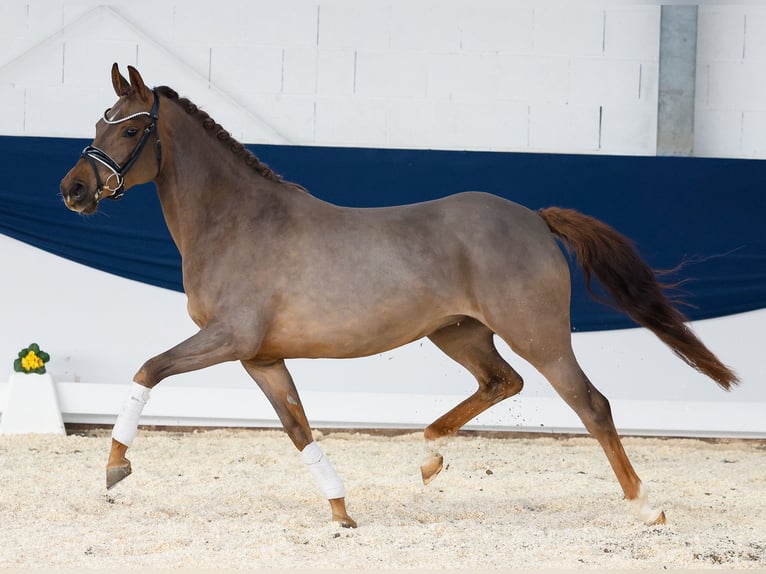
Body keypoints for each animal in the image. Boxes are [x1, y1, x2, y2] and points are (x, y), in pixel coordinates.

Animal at [61, 64, 736, 532]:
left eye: (130, 128)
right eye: (98, 123)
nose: (73, 190)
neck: (236, 221)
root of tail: (534, 219)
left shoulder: (229, 338)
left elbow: (147, 369)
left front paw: (115, 466)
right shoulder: (262, 357)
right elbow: (299, 429)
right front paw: (341, 513)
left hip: (538, 334)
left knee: (590, 404)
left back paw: (646, 507)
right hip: (458, 332)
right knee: (502, 382)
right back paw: (429, 457)